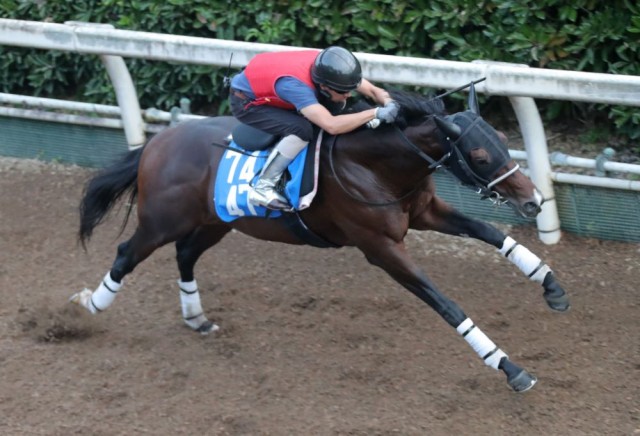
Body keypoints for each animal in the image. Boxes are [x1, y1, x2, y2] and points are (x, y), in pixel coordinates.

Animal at [72, 85, 568, 392]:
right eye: (480, 155)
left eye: (503, 137)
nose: (533, 201)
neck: (372, 164)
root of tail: (156, 143)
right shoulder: (380, 247)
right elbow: (446, 304)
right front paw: (509, 366)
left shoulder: (424, 212)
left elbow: (490, 233)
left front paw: (552, 286)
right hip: (162, 220)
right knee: (127, 253)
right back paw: (88, 306)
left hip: (217, 220)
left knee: (186, 254)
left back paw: (196, 317)